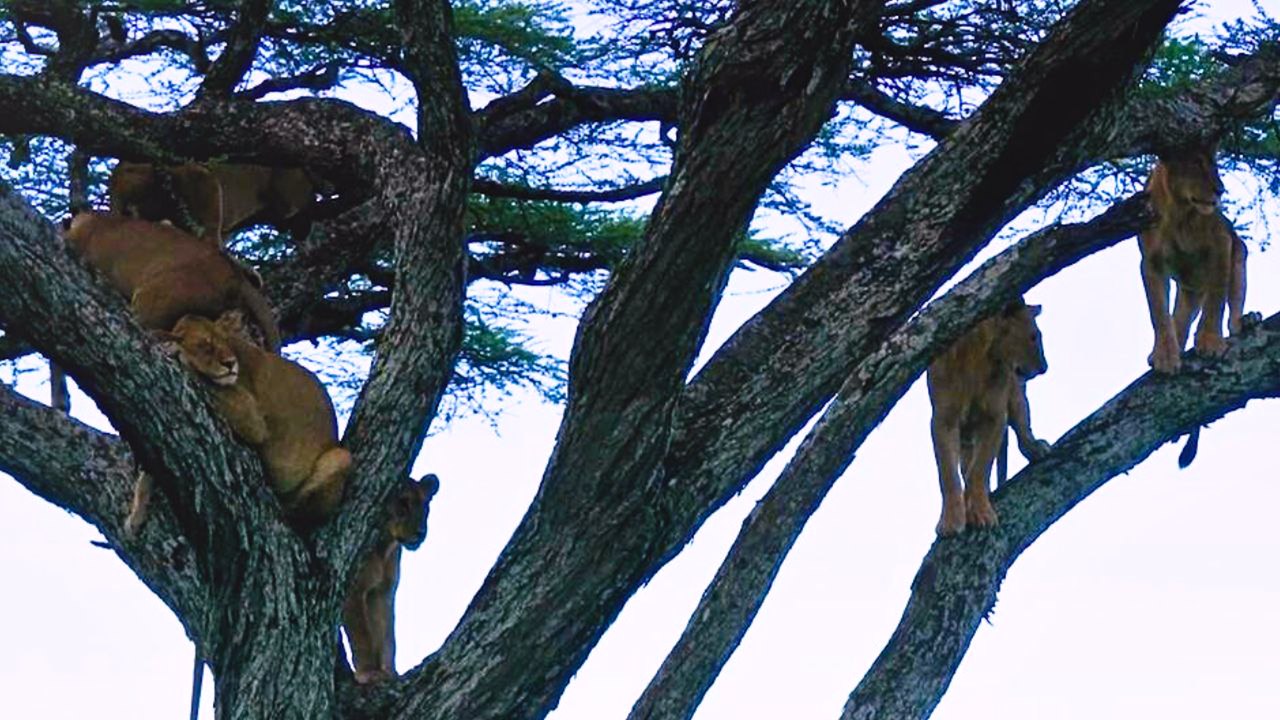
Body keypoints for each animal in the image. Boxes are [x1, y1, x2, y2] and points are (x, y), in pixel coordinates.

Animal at [125, 313, 350, 533]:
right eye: (205, 346)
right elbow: (149, 469)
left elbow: (201, 377)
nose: (230, 363)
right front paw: (135, 516)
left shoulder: (251, 417)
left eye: (224, 340)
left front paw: (174, 352)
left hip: (340, 457)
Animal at [342, 474, 439, 684]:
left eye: (425, 506)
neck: (383, 547)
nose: (421, 532)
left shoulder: (382, 592)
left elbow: (387, 635)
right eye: (403, 503)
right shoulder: (353, 591)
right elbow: (362, 635)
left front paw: (390, 672)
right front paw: (368, 672)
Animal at [927, 300, 1052, 536]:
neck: (979, 356)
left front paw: (981, 513)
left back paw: (1036, 448)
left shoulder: (995, 417)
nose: (1044, 367)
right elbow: (948, 474)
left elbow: (979, 470)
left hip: (1016, 395)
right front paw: (951, 521)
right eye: (1034, 336)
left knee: (1022, 428)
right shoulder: (943, 420)